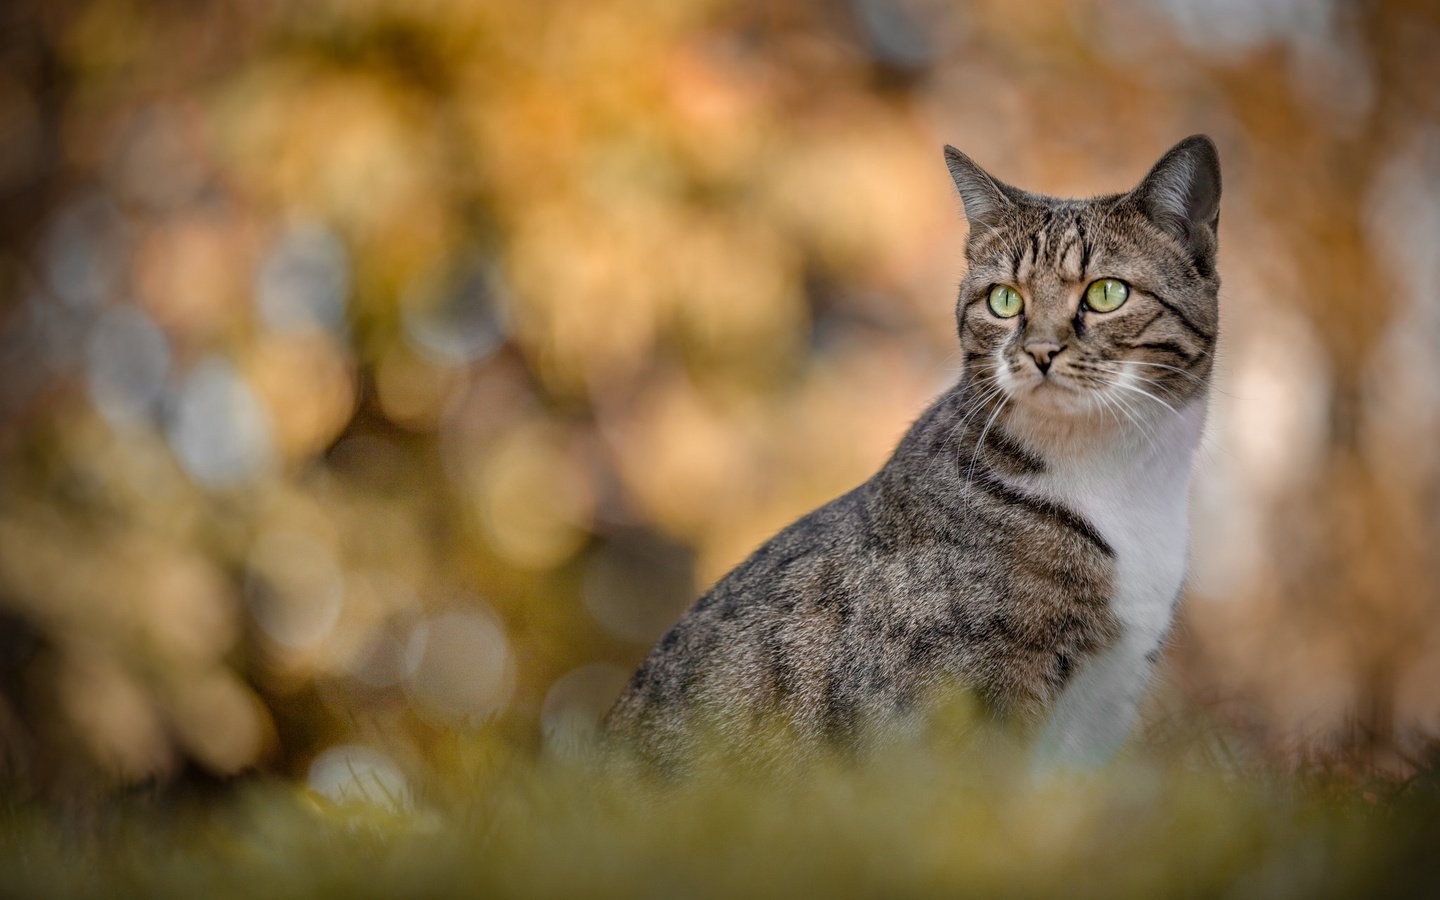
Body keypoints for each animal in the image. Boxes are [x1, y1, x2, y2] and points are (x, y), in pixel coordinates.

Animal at [601, 133, 1221, 766]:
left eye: (1106, 292)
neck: (1119, 481)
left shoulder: (1104, 703)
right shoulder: (956, 710)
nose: (1040, 350)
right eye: (1004, 300)